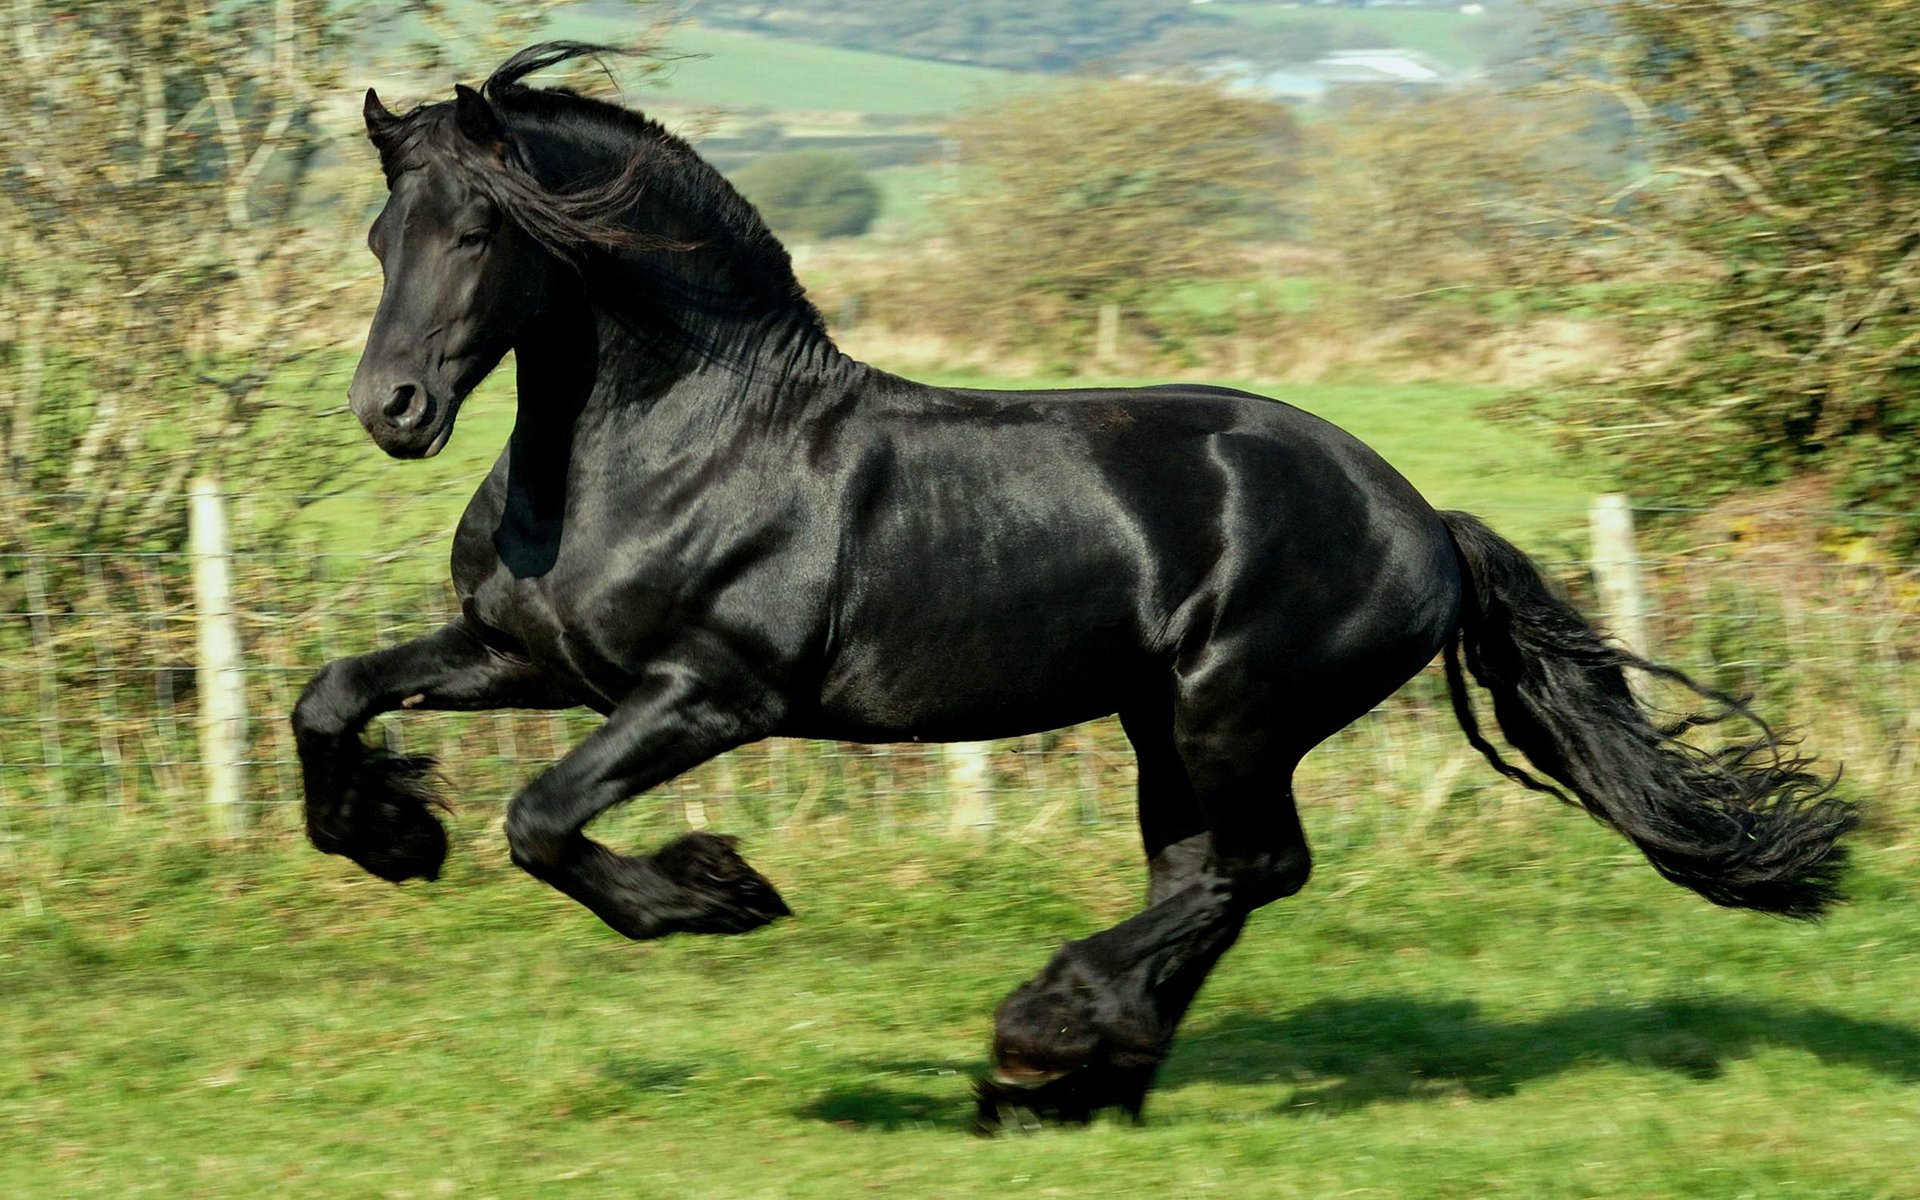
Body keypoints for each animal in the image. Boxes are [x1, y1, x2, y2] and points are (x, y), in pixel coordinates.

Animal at [299, 42, 1858, 1128]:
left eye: (481, 233)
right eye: (381, 237)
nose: (393, 411)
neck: (677, 439)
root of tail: (1421, 515)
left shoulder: (709, 695)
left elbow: (544, 819)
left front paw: (719, 894)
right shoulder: (530, 658)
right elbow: (333, 699)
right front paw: (390, 837)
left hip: (1236, 710)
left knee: (1249, 869)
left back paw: (1043, 1037)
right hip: (1162, 722)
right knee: (1208, 878)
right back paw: (1077, 1081)